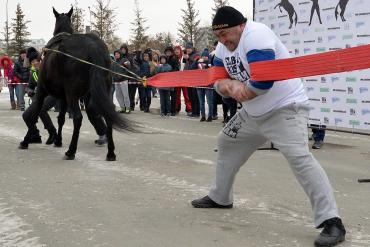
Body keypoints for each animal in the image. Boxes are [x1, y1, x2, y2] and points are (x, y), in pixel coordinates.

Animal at [19, 7, 133, 160]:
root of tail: (93, 46)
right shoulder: (63, 97)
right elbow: (61, 118)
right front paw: (58, 140)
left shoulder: (42, 91)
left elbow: (35, 114)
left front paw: (26, 140)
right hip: (103, 91)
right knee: (107, 116)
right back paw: (110, 152)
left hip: (72, 94)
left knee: (78, 118)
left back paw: (71, 151)